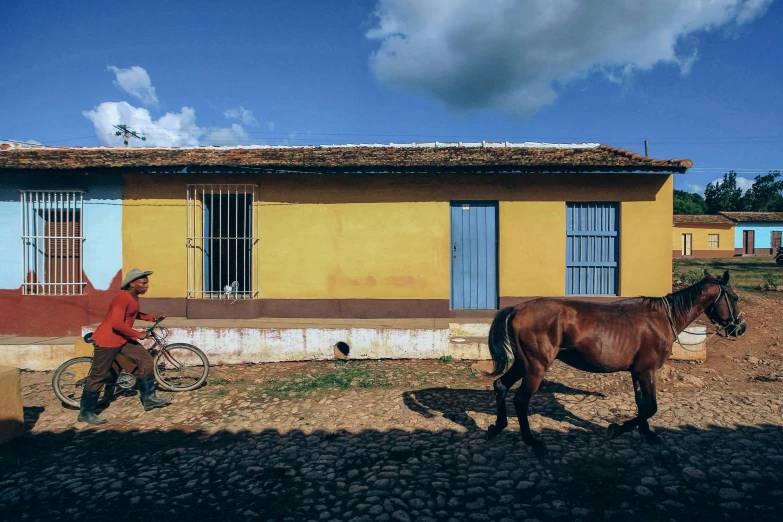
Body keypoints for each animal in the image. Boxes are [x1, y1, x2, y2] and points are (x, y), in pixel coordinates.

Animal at [490, 270, 748, 452]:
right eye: (734, 297)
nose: (740, 328)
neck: (662, 318)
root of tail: (517, 308)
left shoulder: (637, 371)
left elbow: (642, 404)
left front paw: (646, 432)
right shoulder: (646, 371)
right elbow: (651, 406)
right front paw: (617, 429)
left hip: (523, 364)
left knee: (501, 385)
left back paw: (499, 425)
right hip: (536, 367)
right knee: (521, 400)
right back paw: (531, 441)